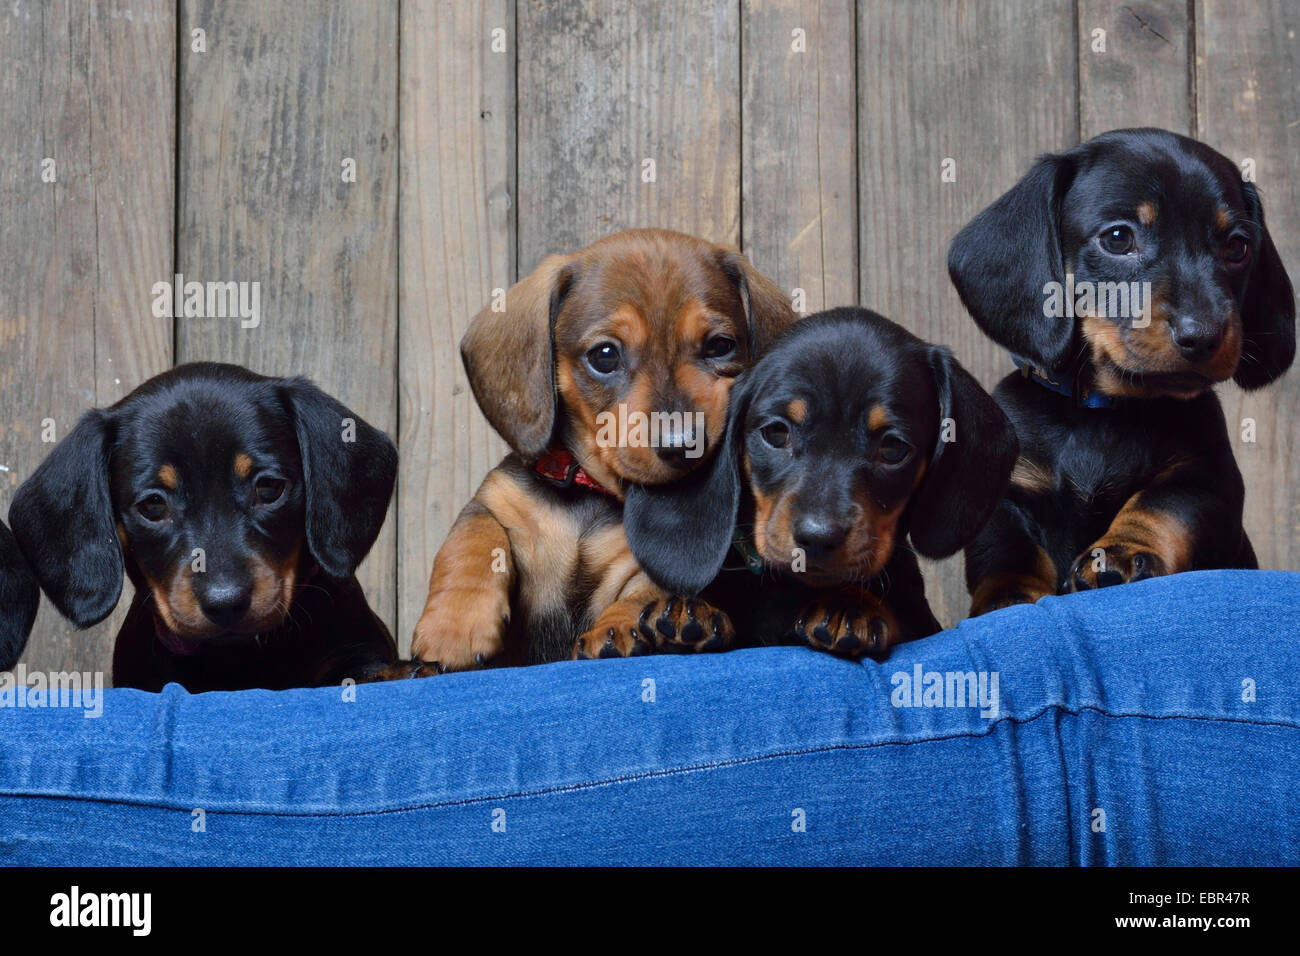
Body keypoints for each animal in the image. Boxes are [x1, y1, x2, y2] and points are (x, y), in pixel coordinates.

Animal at [410, 227, 795, 671]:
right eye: (605, 355)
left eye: (720, 347)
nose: (683, 445)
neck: (590, 491)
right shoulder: (497, 499)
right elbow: (471, 538)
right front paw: (454, 625)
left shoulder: (649, 559)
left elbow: (644, 588)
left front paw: (623, 628)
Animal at [951, 128, 1294, 613]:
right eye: (1118, 238)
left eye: (1237, 247)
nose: (1204, 335)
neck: (1105, 410)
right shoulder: (1009, 495)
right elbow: (1008, 550)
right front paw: (1007, 596)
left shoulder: (1206, 476)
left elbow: (1161, 507)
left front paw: (1122, 550)